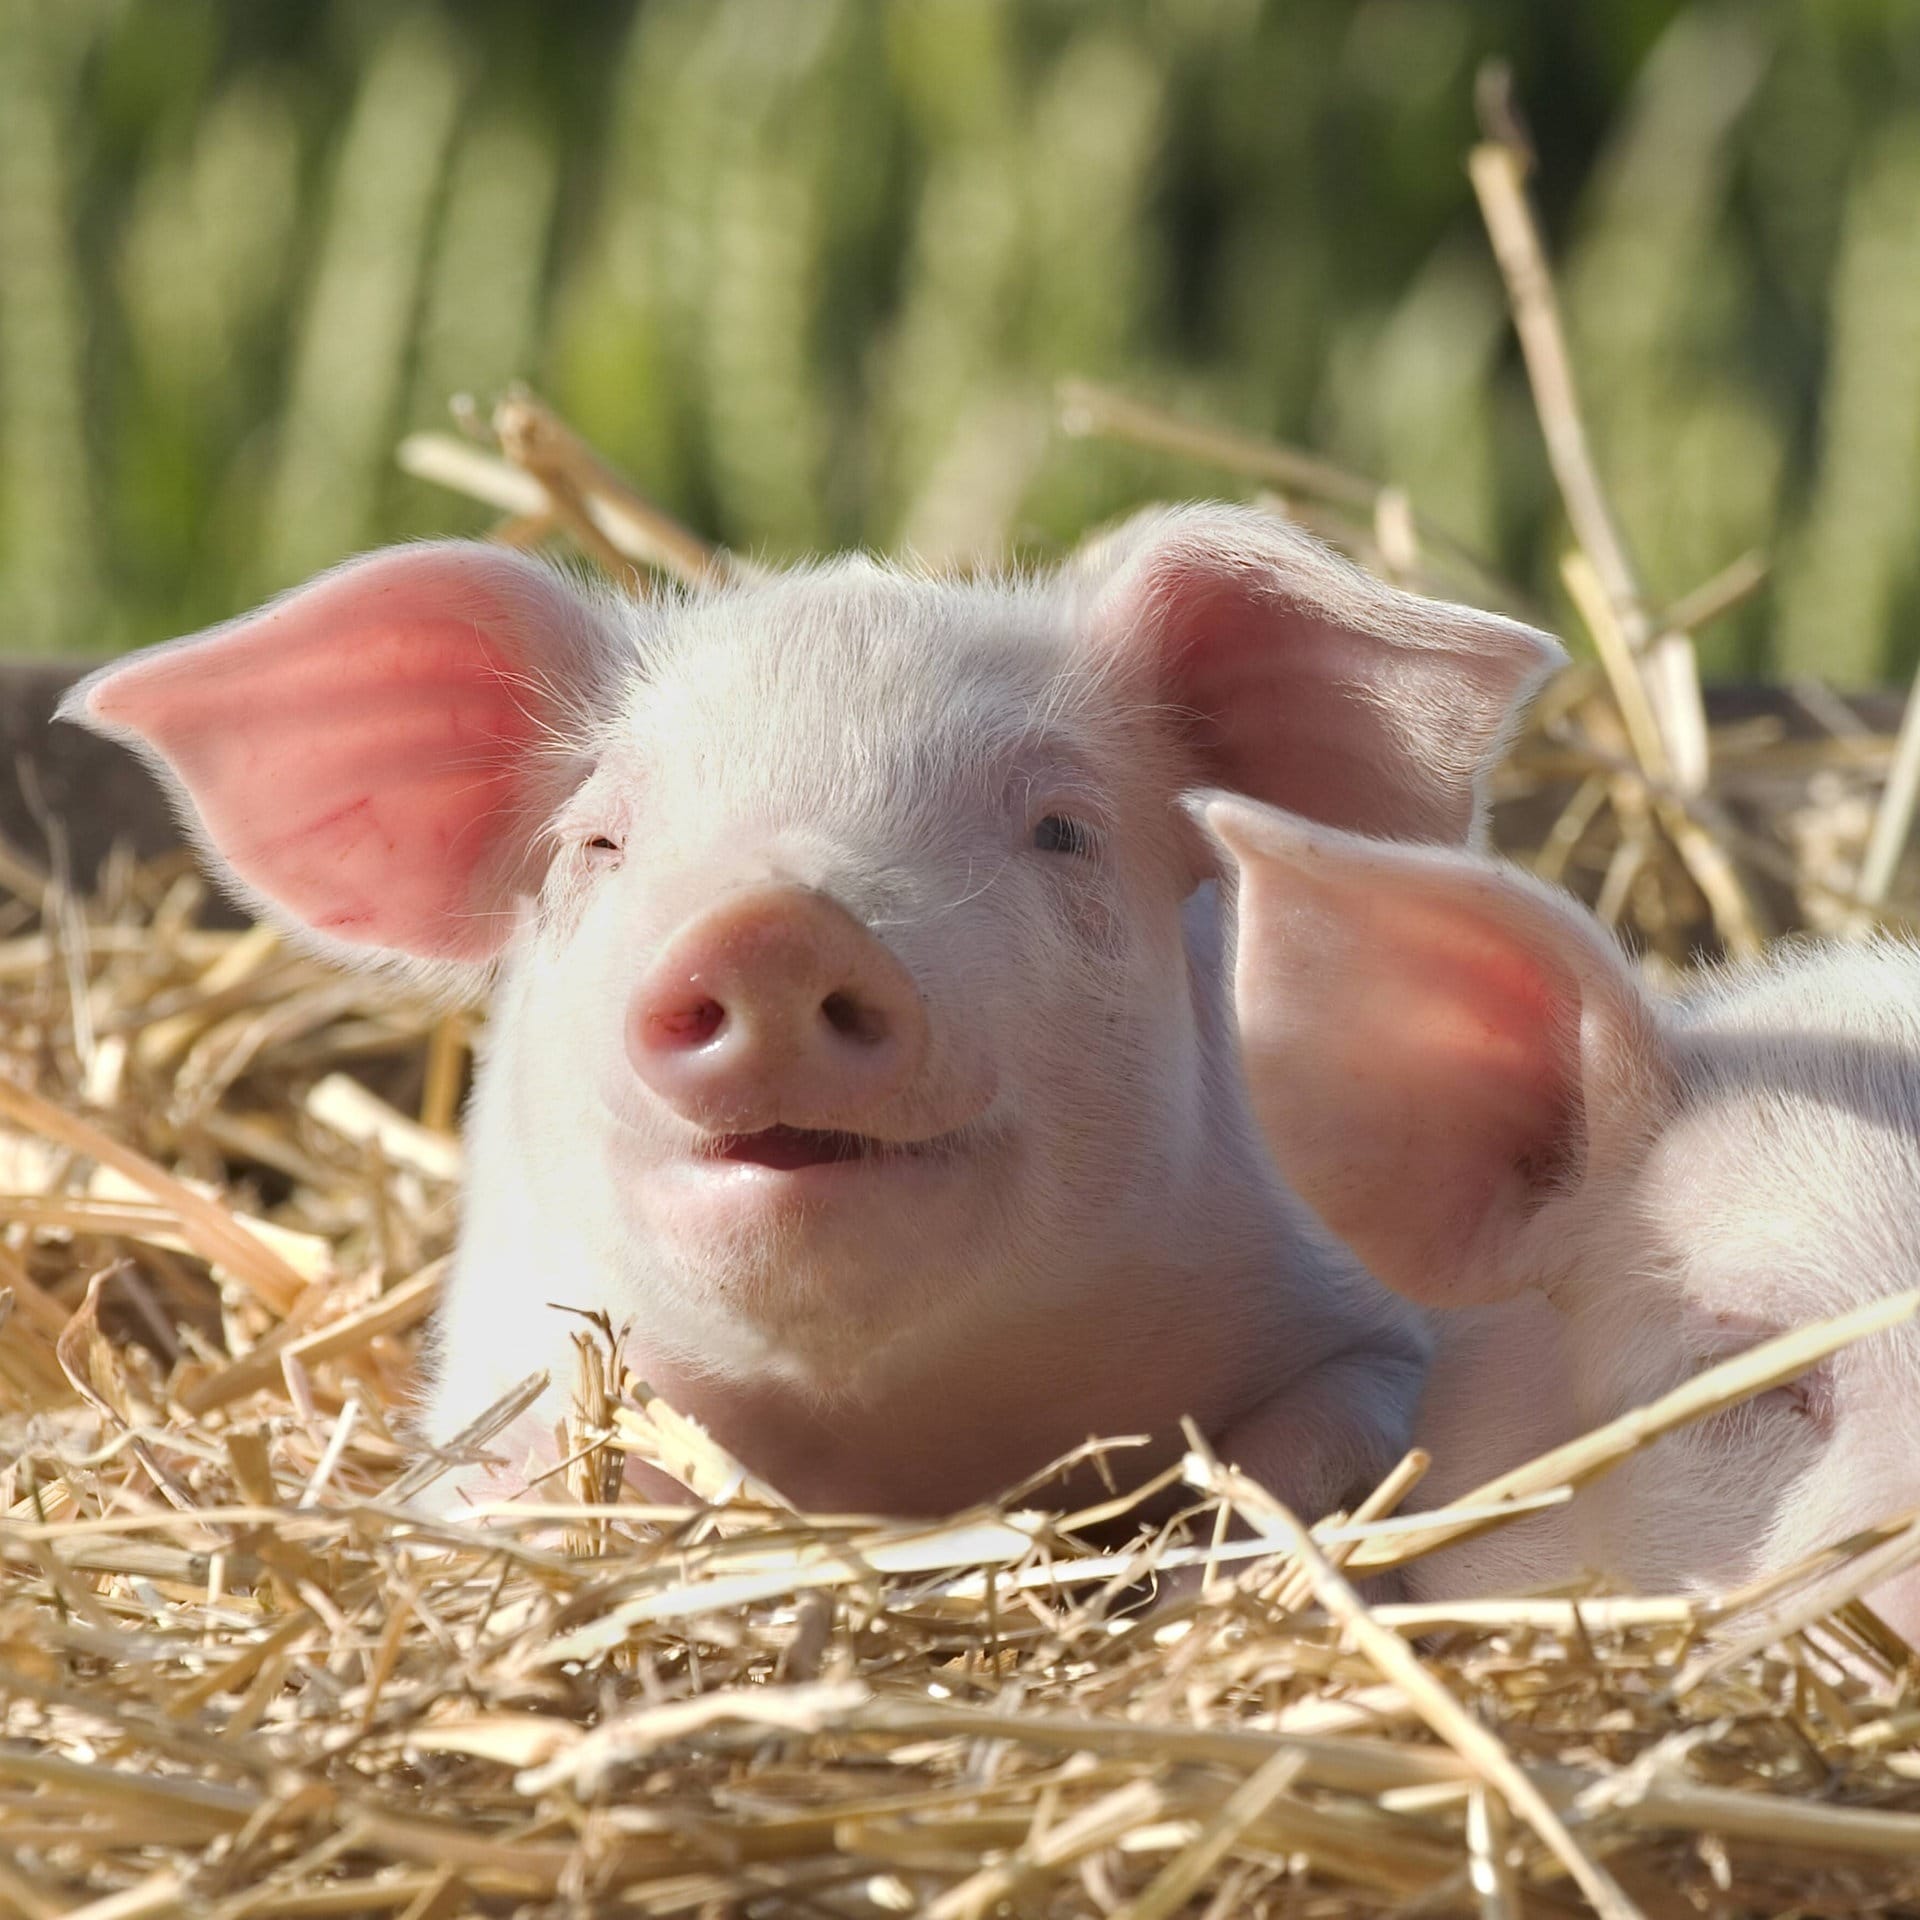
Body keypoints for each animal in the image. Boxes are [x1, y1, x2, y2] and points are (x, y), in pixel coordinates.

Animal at [61, 506, 1558, 1520]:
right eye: (599, 843)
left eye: (1062, 830)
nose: (775, 923)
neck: (891, 1445)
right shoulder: (492, 1382)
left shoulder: (1371, 1318)